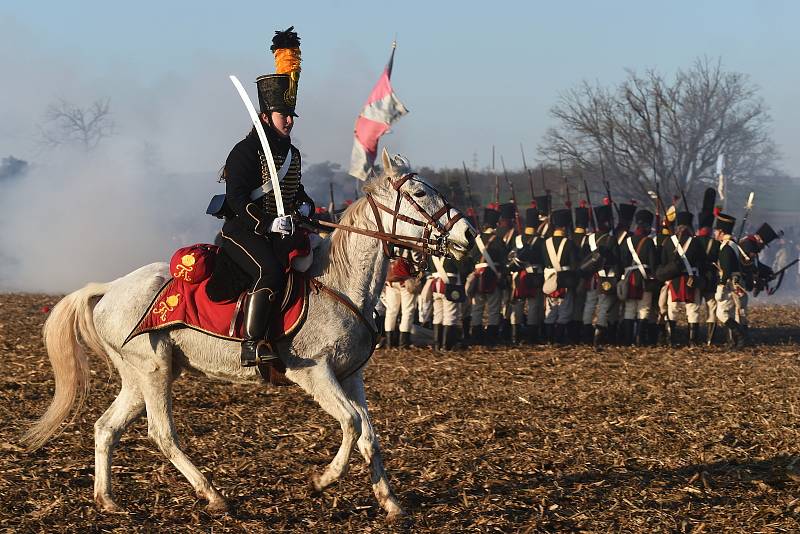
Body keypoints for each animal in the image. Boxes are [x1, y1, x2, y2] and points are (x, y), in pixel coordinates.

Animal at [23, 151, 476, 524]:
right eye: (419, 192)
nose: (469, 235)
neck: (340, 282)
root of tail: (110, 288)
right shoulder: (314, 374)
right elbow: (350, 422)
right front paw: (322, 481)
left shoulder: (351, 377)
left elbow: (369, 433)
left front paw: (391, 503)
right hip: (154, 372)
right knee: (162, 434)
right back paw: (214, 496)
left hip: (140, 378)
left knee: (106, 428)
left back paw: (109, 501)